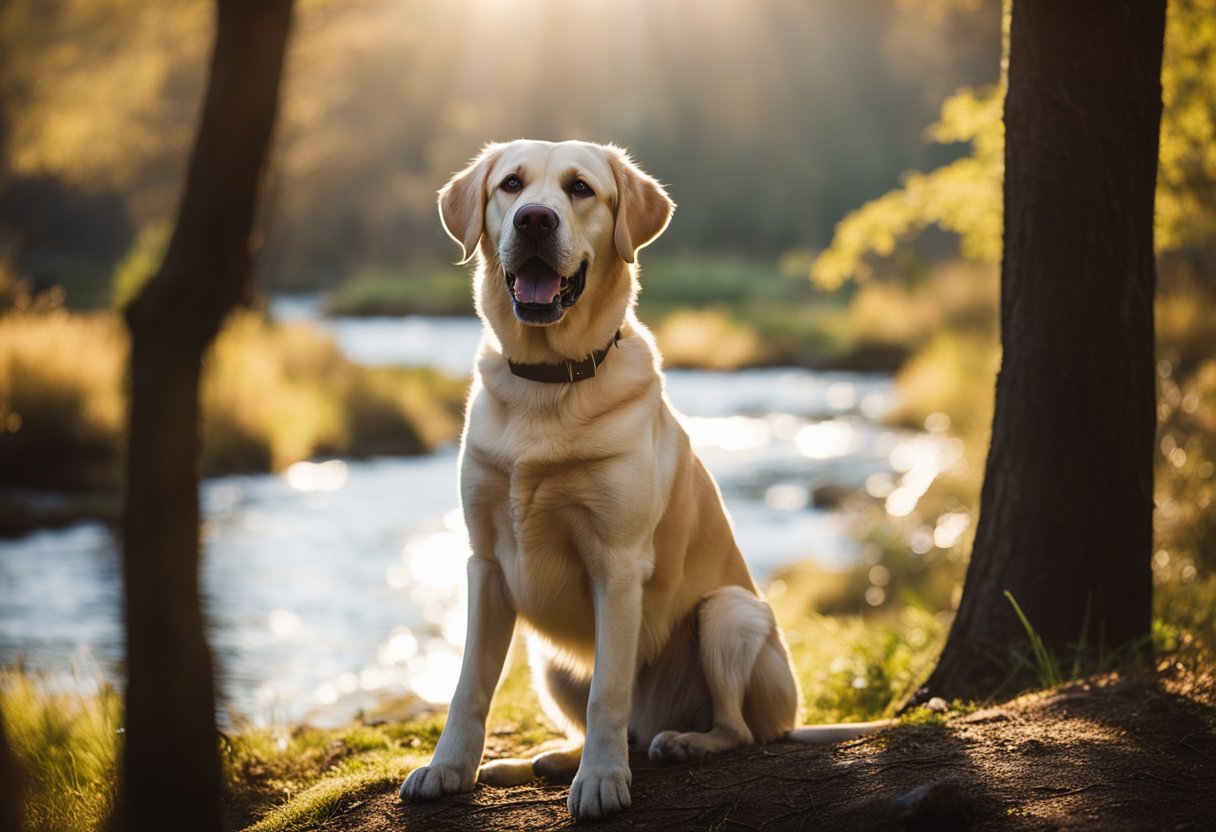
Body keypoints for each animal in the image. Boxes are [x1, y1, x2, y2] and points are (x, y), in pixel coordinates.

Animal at [403, 138, 890, 817]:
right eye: (511, 184)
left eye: (580, 188)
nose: (534, 220)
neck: (548, 383)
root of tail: (792, 719)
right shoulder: (486, 563)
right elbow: (469, 686)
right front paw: (448, 768)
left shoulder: (616, 561)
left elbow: (608, 691)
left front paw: (603, 781)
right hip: (548, 660)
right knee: (620, 723)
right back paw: (550, 758)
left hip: (731, 614)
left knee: (730, 728)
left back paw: (681, 742)